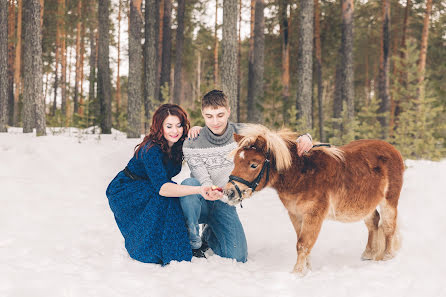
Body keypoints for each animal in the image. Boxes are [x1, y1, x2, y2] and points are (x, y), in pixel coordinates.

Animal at [226, 124, 404, 276]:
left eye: (254, 165)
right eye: (234, 161)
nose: (229, 192)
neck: (301, 174)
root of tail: (393, 149)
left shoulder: (314, 215)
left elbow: (303, 244)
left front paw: (297, 273)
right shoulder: (295, 214)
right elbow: (301, 242)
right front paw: (307, 269)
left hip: (389, 201)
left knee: (388, 227)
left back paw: (387, 256)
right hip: (365, 204)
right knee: (373, 222)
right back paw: (368, 253)